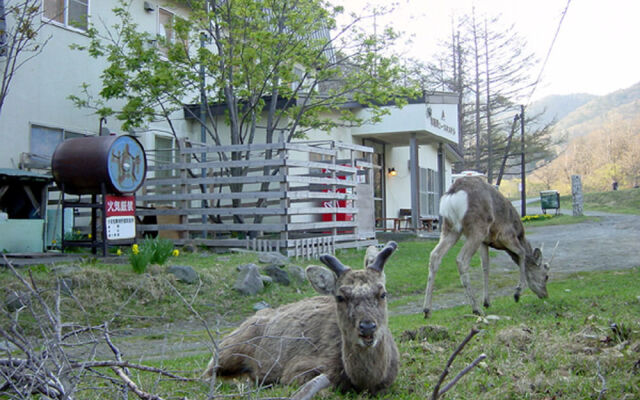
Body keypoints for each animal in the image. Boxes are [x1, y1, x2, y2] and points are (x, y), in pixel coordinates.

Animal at [205, 242, 398, 396]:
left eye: (383, 293)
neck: (362, 381)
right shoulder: (297, 368)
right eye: (340, 297)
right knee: (208, 374)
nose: (367, 326)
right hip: (229, 349)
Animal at [422, 177, 548, 318]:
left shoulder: (485, 242)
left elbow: (486, 267)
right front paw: (517, 293)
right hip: (477, 228)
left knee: (435, 255)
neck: (519, 234)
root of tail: (453, 193)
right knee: (461, 260)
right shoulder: (506, 235)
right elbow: (522, 253)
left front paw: (487, 302)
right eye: (546, 276)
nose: (545, 295)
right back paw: (476, 309)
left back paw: (427, 310)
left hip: (450, 228)